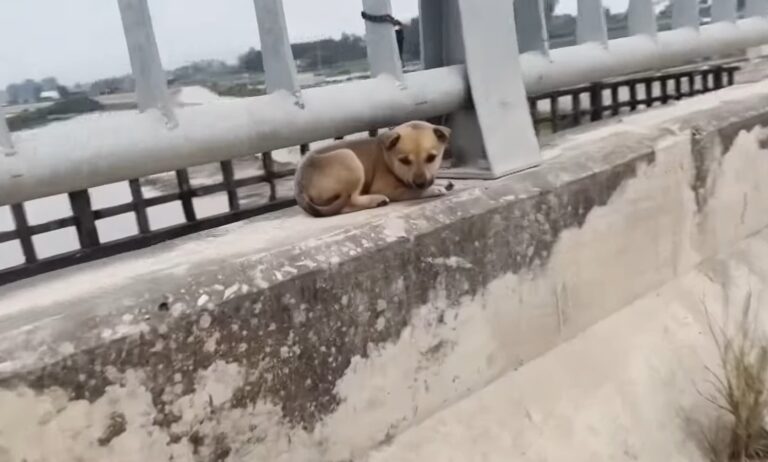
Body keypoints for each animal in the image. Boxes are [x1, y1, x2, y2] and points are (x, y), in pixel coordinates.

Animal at [292, 121, 450, 218]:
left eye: (431, 158)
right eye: (404, 160)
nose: (420, 183)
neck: (387, 158)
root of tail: (300, 187)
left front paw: (442, 182)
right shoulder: (389, 189)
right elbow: (412, 191)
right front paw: (433, 189)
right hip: (349, 158)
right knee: (350, 201)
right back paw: (376, 200)